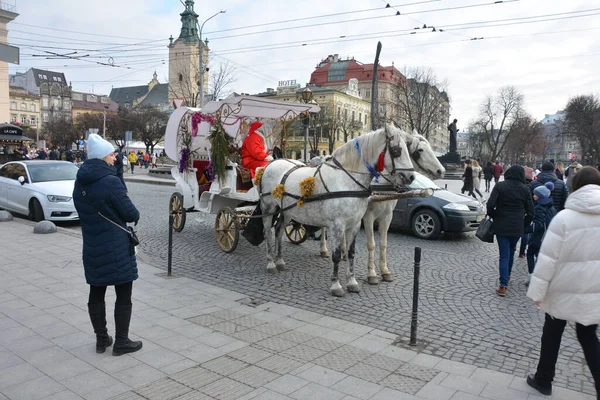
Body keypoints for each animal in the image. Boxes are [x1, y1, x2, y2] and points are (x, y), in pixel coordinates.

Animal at [260, 126, 414, 296]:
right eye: (396, 150)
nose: (411, 176)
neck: (346, 179)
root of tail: (273, 162)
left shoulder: (354, 224)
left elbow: (351, 253)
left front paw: (352, 282)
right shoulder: (337, 225)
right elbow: (336, 255)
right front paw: (336, 285)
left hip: (287, 211)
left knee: (279, 230)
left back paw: (279, 260)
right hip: (268, 208)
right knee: (268, 233)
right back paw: (270, 263)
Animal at [322, 125, 442, 284]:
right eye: (421, 150)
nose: (441, 170)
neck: (382, 185)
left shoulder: (387, 216)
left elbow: (383, 244)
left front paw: (385, 271)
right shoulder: (368, 217)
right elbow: (371, 244)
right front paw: (372, 273)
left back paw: (343, 253)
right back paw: (324, 250)